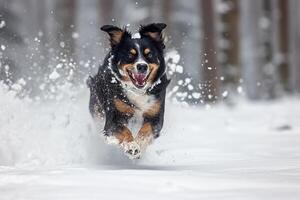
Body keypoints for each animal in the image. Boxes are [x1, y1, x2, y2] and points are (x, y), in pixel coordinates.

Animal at [88, 22, 170, 159]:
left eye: (149, 54)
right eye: (130, 55)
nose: (142, 66)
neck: (137, 92)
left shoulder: (155, 115)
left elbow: (146, 130)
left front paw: (139, 145)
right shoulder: (114, 118)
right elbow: (124, 130)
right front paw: (132, 146)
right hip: (97, 109)